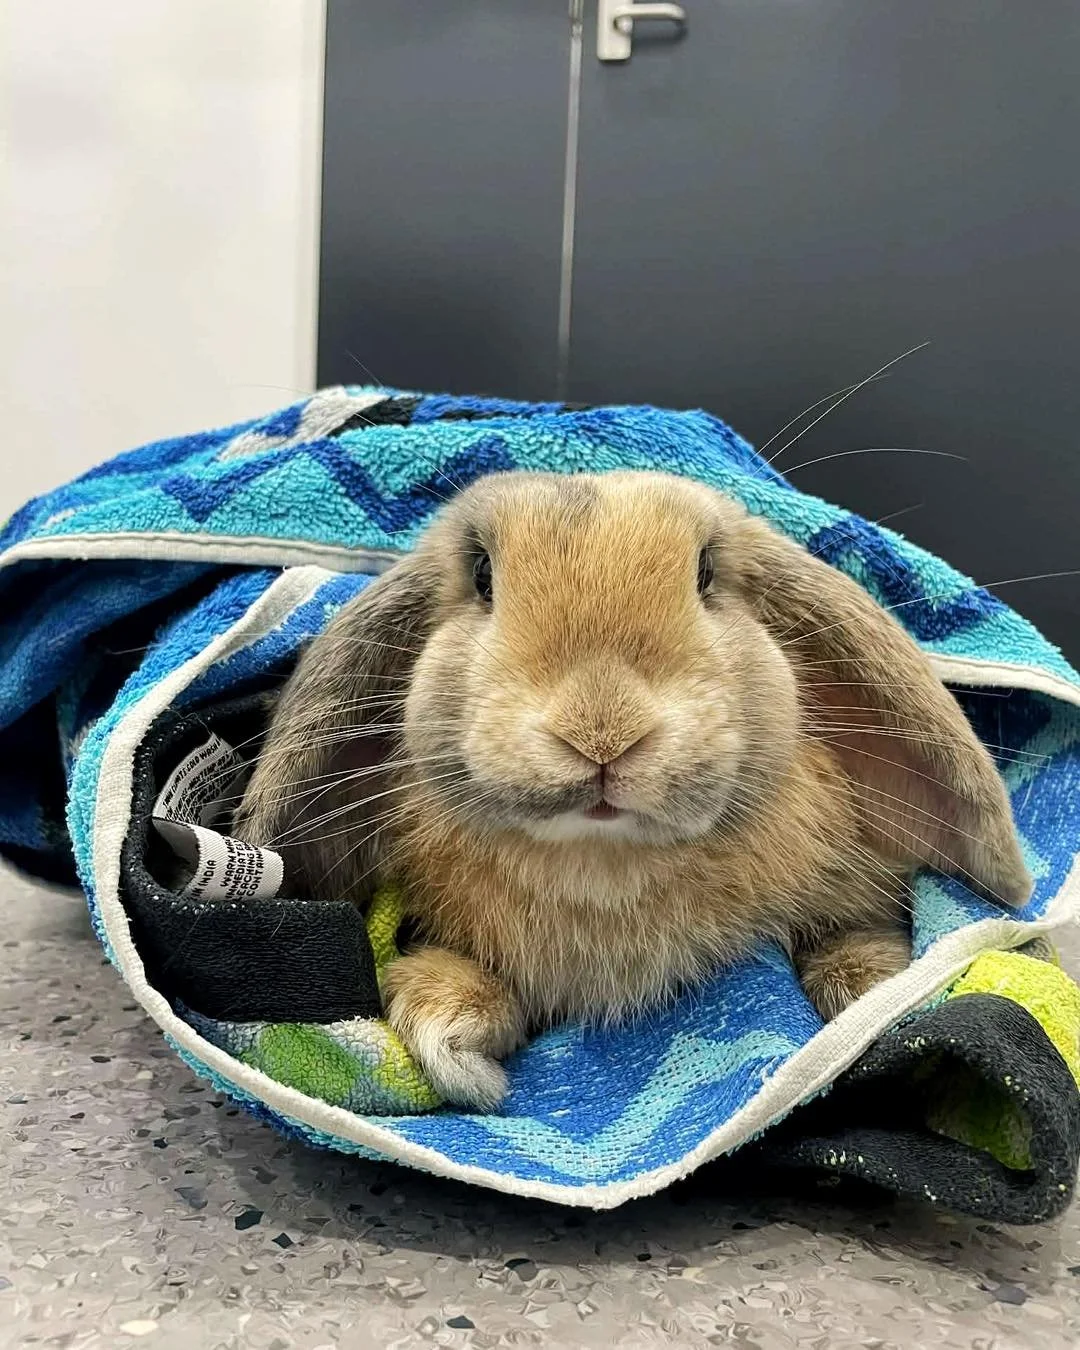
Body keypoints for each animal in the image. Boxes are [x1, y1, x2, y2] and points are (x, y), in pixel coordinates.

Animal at [234, 470, 1031, 1110]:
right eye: (483, 575)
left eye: (705, 571)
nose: (601, 731)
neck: (604, 866)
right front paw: (451, 1040)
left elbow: (852, 952)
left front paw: (879, 996)